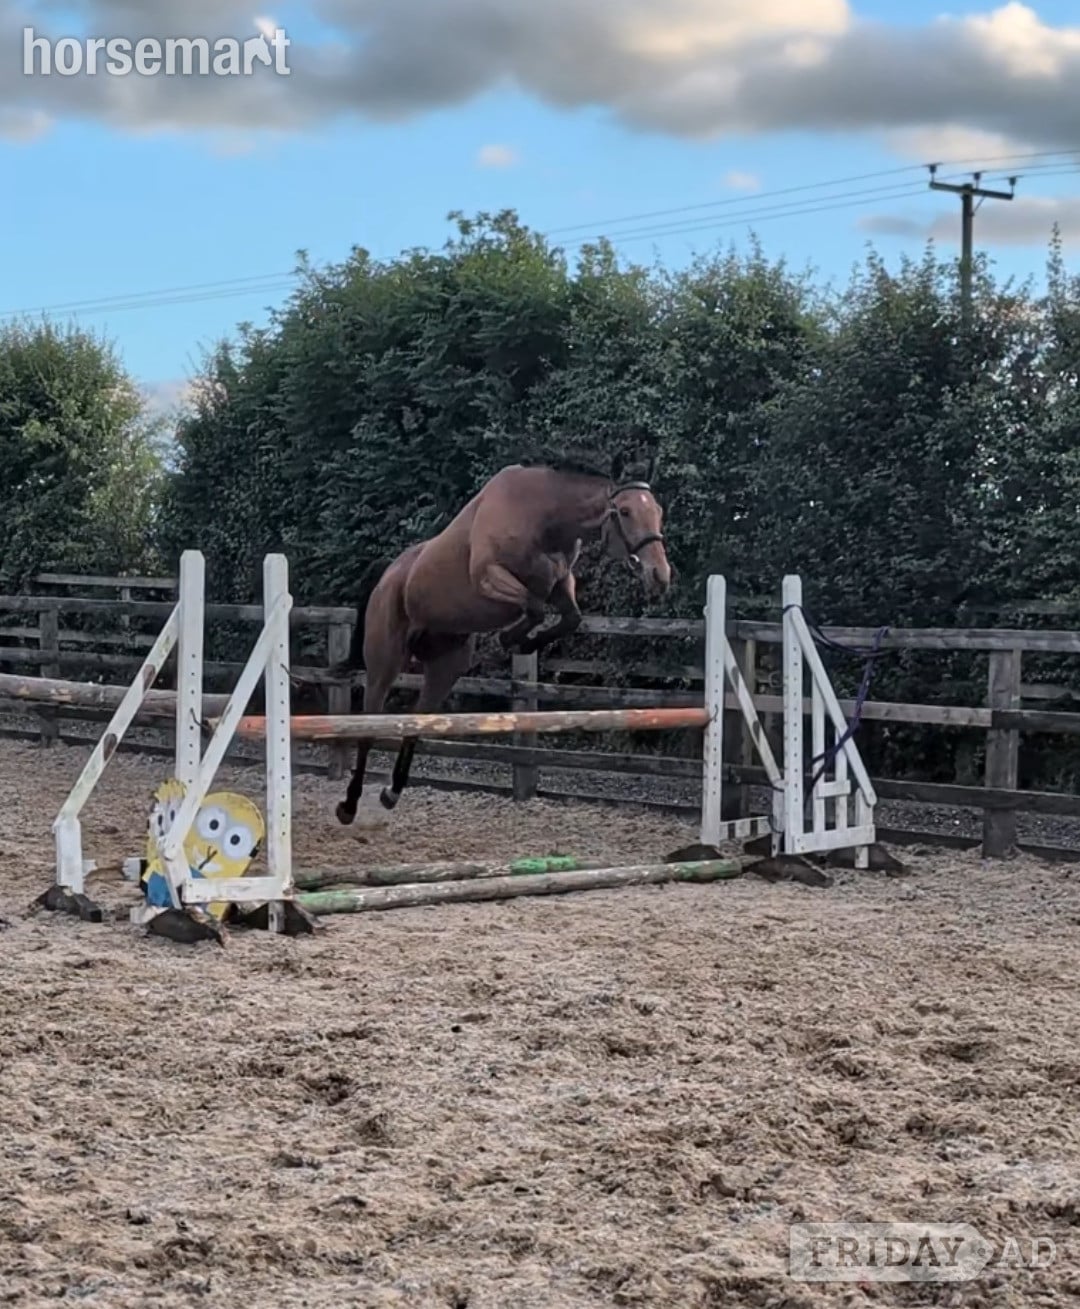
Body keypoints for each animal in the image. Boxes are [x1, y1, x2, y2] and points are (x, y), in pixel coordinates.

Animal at [332, 457, 671, 825]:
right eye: (624, 511)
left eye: (658, 511)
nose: (660, 576)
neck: (544, 518)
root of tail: (386, 577)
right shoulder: (490, 577)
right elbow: (534, 608)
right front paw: (512, 639)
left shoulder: (559, 583)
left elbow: (570, 618)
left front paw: (524, 643)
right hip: (385, 664)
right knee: (367, 727)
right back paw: (348, 806)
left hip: (446, 667)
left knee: (416, 721)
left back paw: (391, 793)